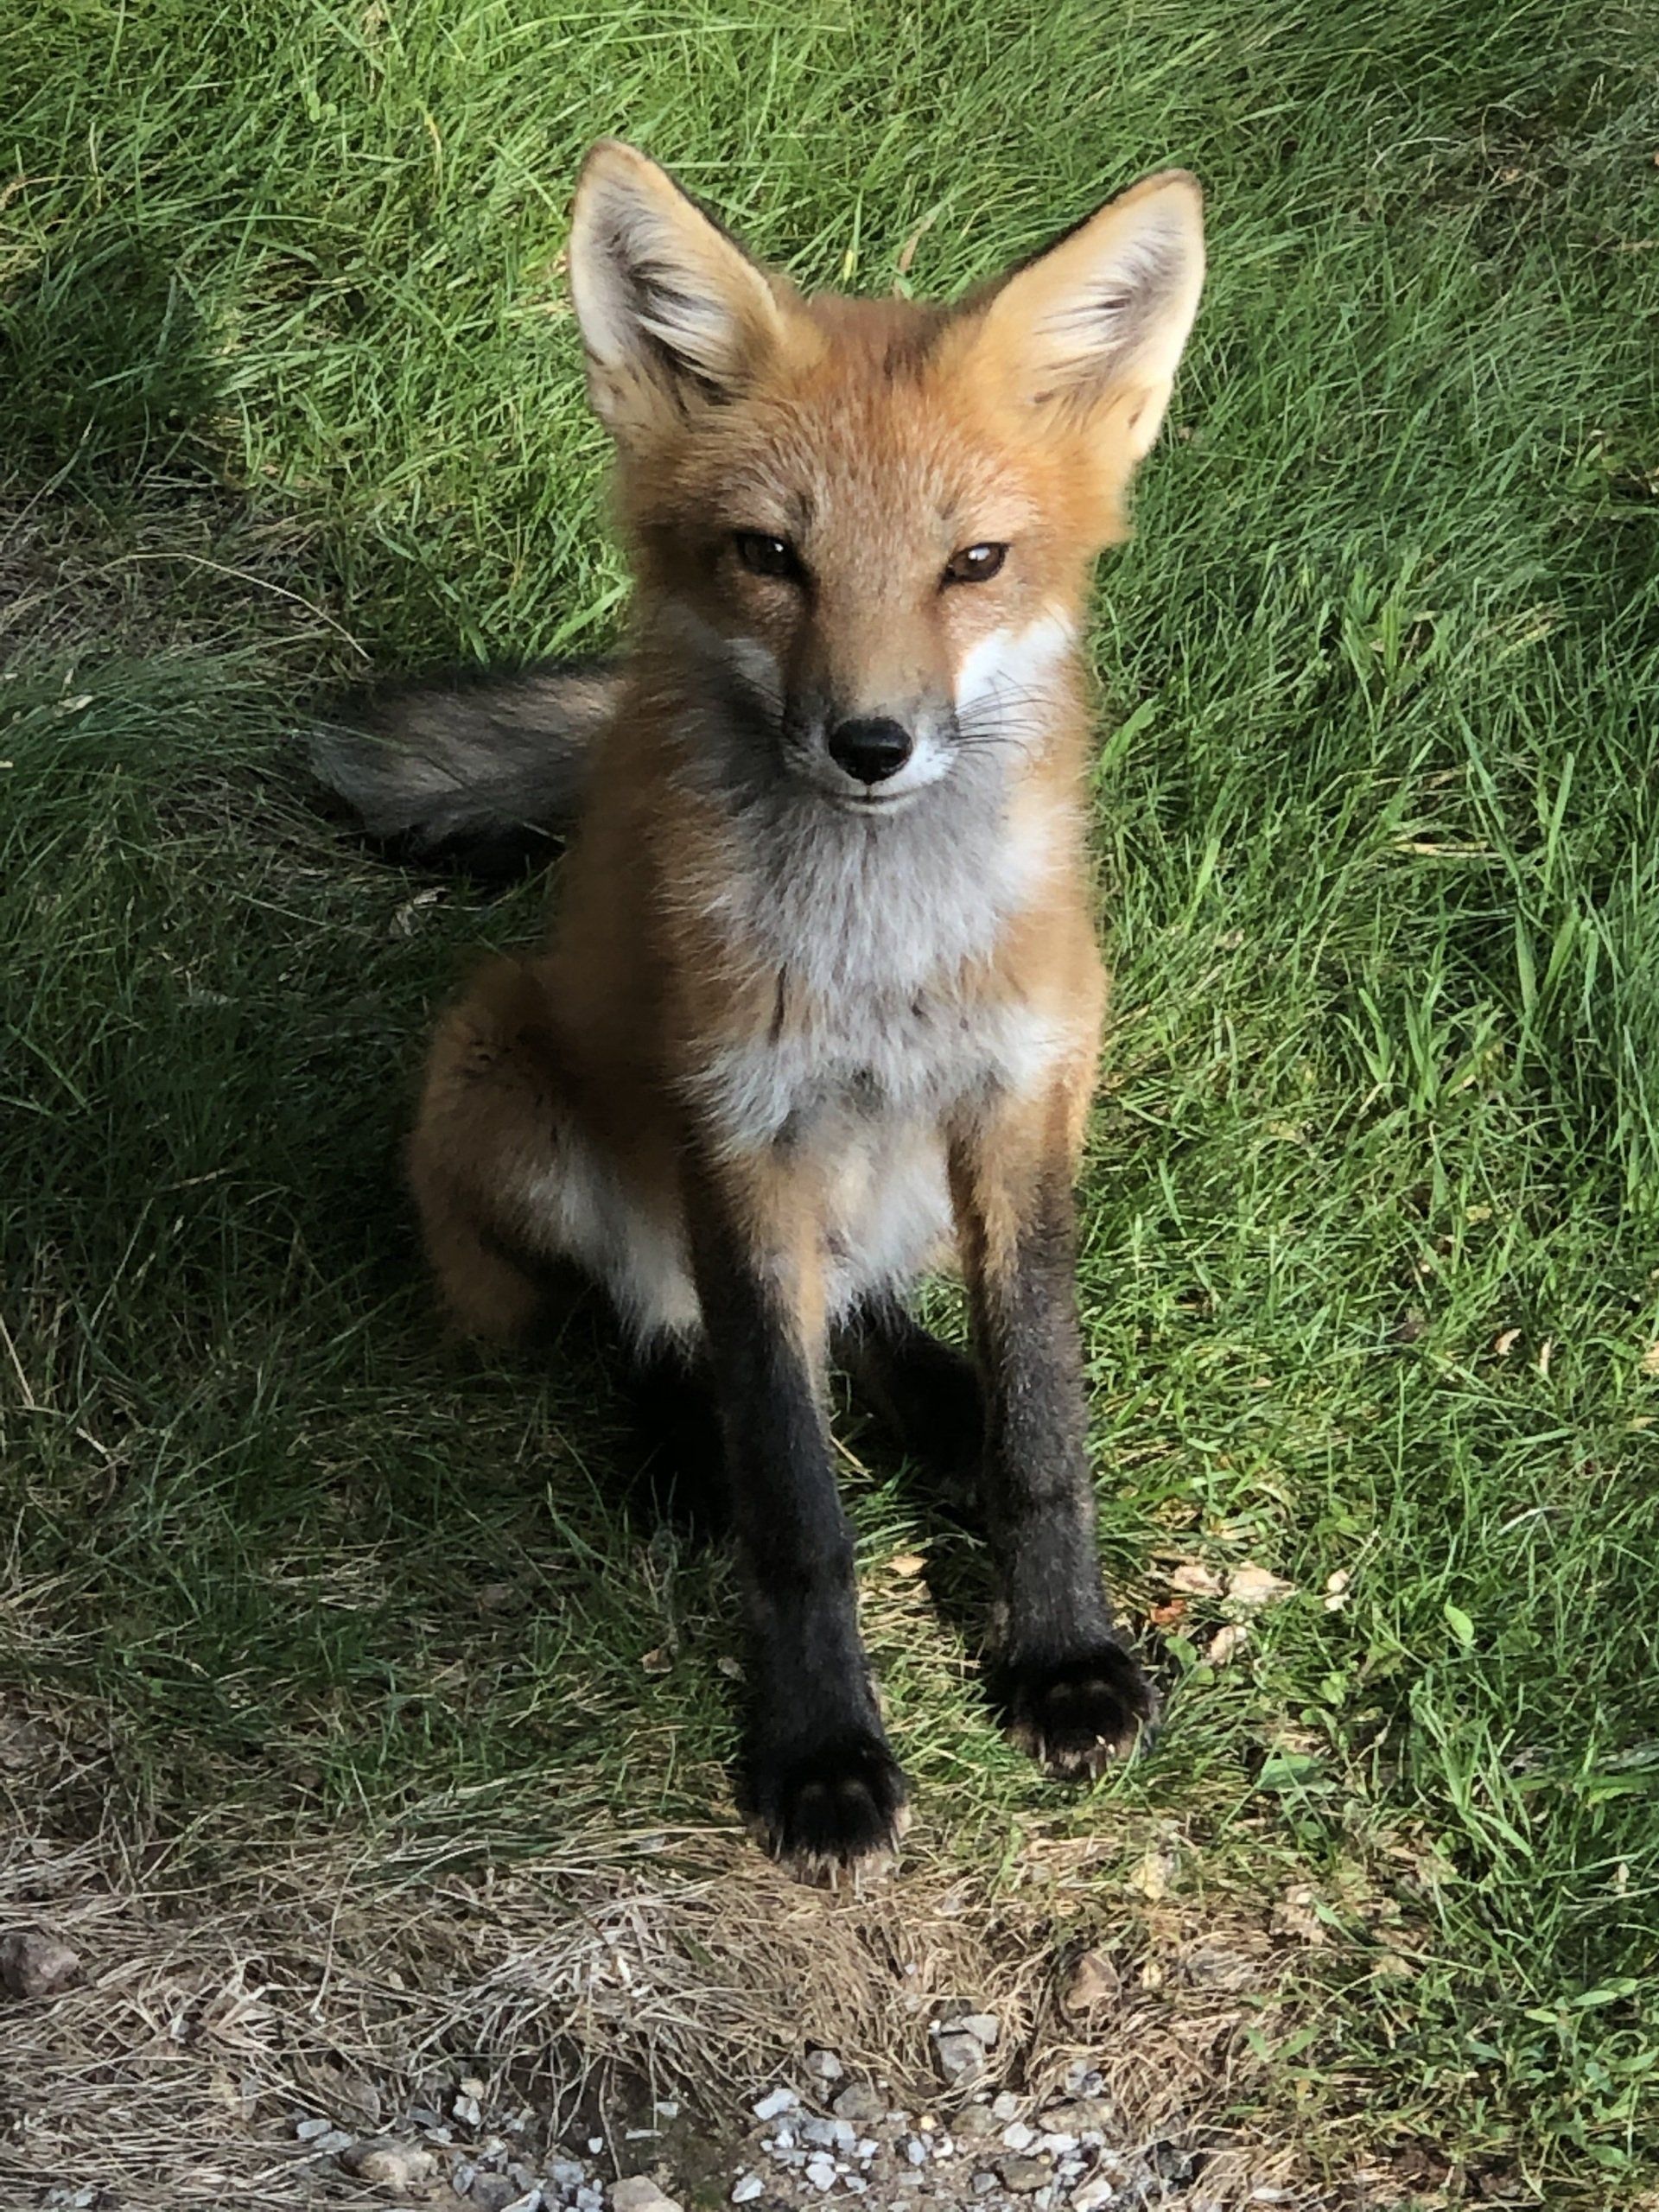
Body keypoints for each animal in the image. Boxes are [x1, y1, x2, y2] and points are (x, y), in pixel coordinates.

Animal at [315, 139, 1205, 1870]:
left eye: (975, 564)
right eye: (770, 556)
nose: (870, 744)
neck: (885, 959)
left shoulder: (1022, 1103)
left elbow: (1045, 1427)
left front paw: (1061, 1654)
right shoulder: (739, 1128)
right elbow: (797, 1501)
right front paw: (821, 1752)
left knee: (864, 1315)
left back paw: (931, 1405)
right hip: (505, 1075)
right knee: (662, 1326)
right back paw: (683, 1463)